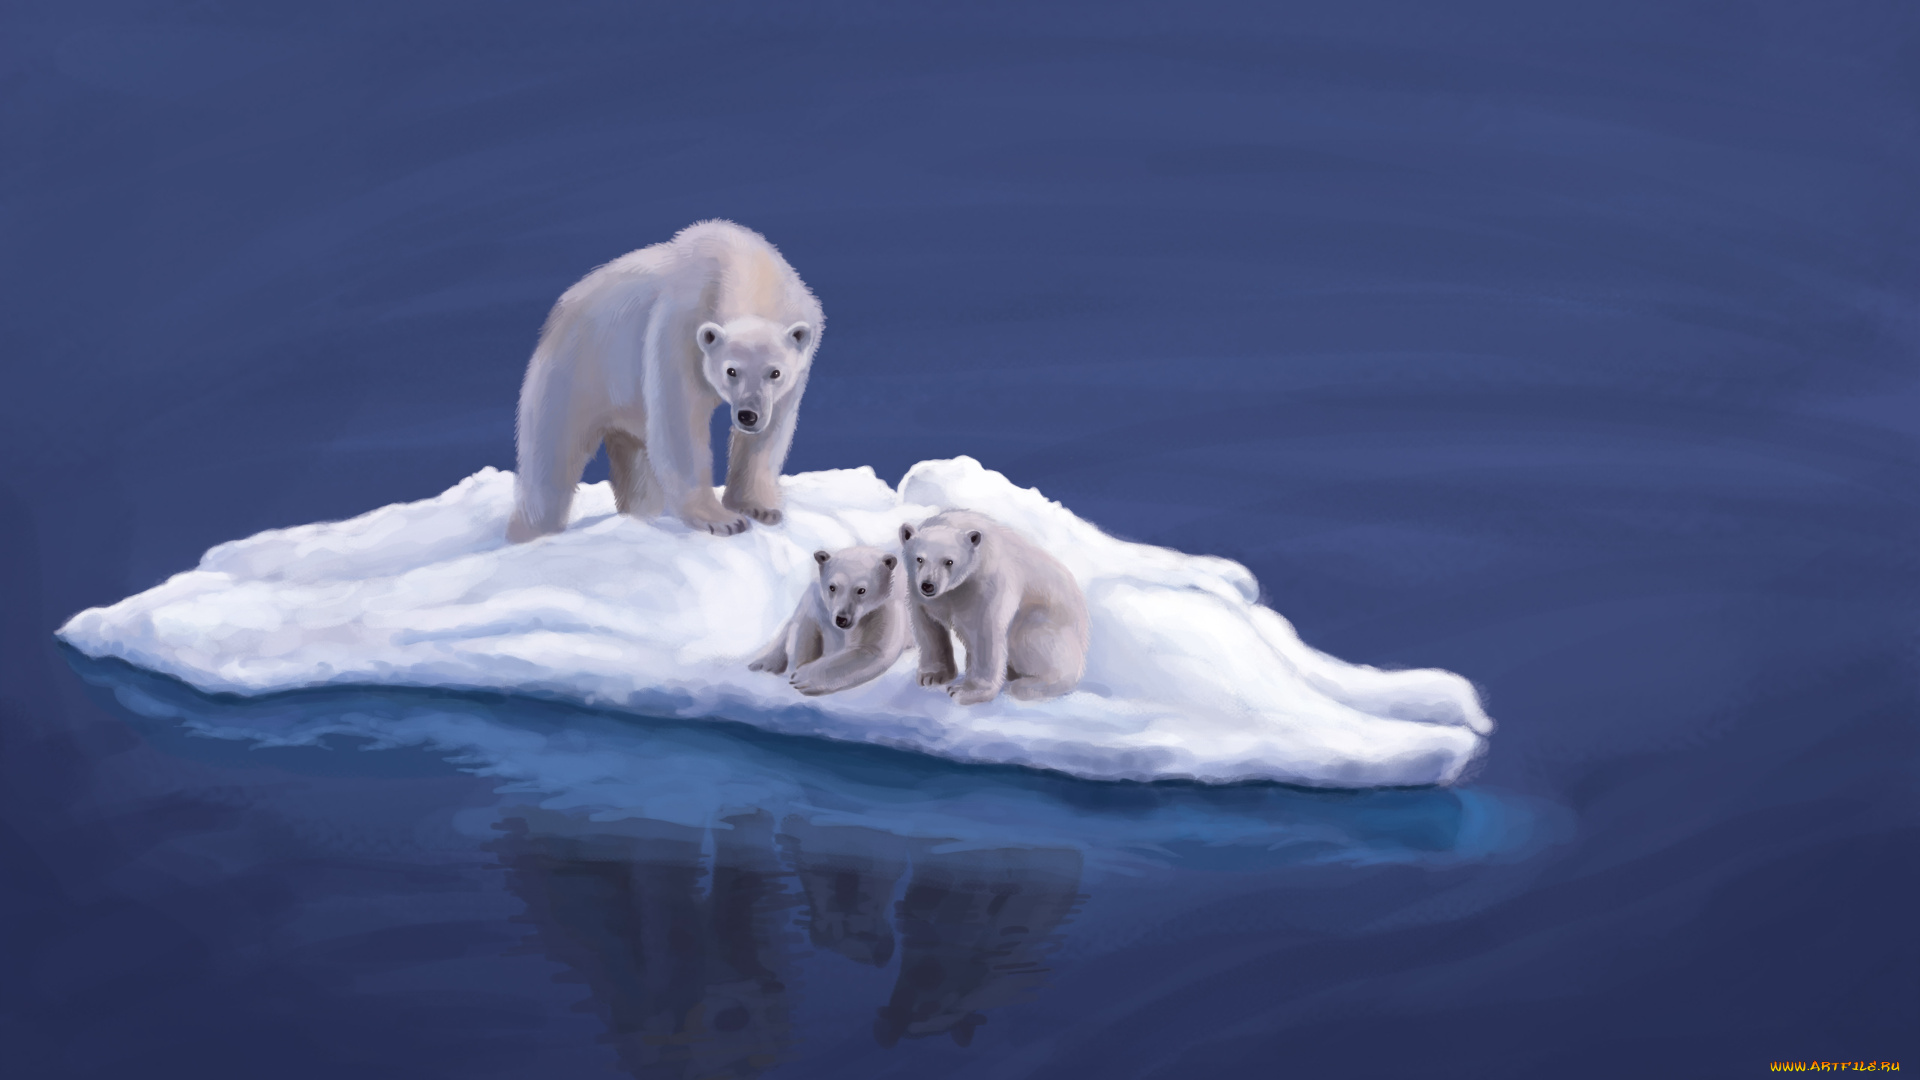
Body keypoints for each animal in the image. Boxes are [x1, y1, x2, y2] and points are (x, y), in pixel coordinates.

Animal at [506, 220, 824, 542]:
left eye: (775, 372)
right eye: (731, 371)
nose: (748, 415)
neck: (746, 266)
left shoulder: (801, 345)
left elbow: (772, 430)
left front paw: (760, 508)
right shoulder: (680, 329)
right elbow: (680, 420)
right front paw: (723, 520)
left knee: (636, 463)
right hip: (578, 370)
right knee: (552, 459)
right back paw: (530, 533)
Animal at [748, 545, 911, 696]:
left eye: (861, 590)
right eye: (832, 587)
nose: (842, 619)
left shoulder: (883, 608)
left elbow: (872, 649)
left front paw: (802, 678)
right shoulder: (817, 600)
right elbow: (802, 626)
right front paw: (785, 665)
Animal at [900, 510, 1089, 705]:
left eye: (949, 561)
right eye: (919, 559)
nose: (928, 585)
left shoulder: (987, 582)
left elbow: (986, 632)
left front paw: (965, 691)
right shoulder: (920, 590)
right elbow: (928, 626)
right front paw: (932, 676)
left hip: (1047, 624)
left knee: (1029, 638)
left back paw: (1027, 686)